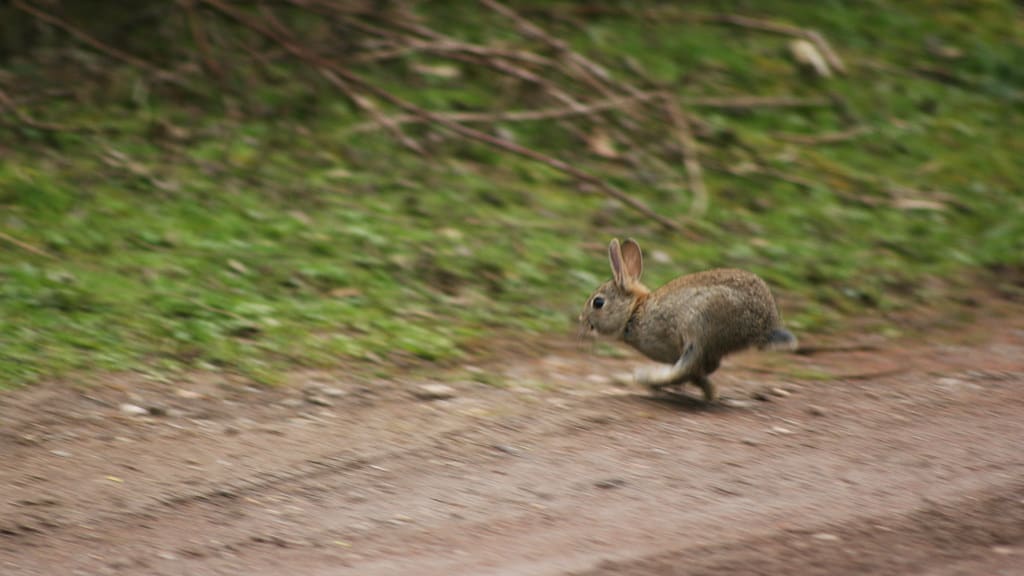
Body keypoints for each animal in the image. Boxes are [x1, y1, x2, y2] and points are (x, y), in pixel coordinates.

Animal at [579, 238, 797, 402]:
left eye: (598, 303)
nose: (583, 324)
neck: (634, 312)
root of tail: (764, 328)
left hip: (701, 323)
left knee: (688, 367)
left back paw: (648, 379)